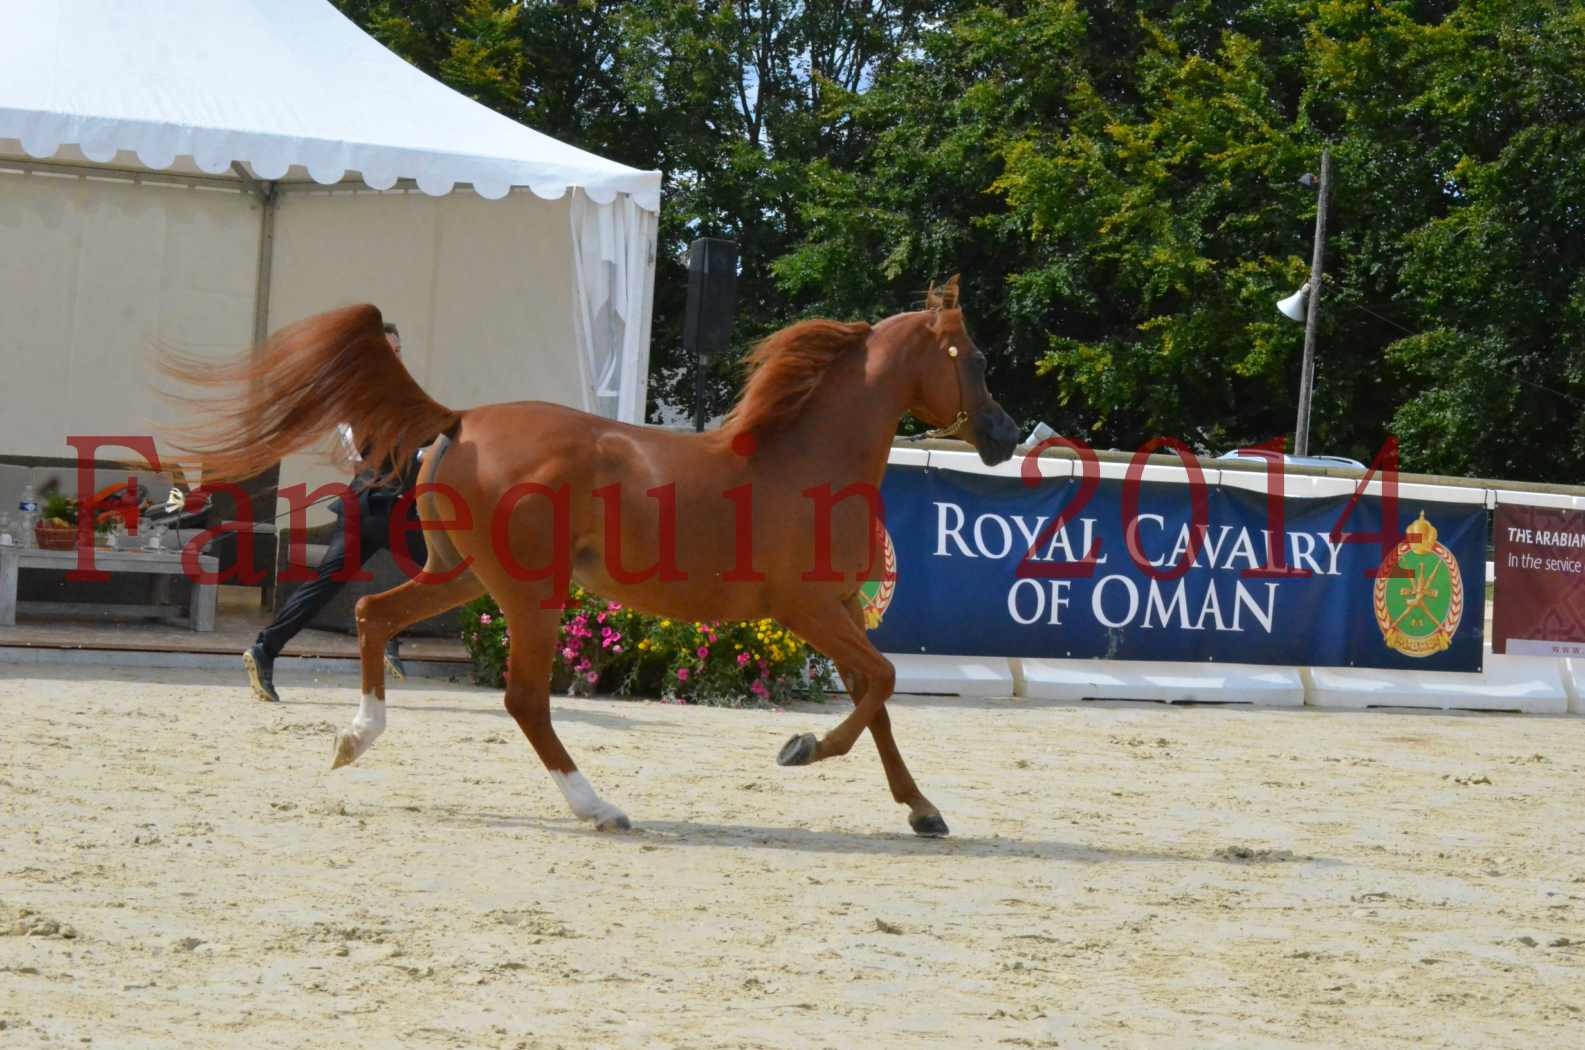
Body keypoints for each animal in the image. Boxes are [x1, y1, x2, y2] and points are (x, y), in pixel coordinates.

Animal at [167, 277, 1014, 837]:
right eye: (972, 357)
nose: (1004, 437)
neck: (808, 461)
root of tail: (460, 419)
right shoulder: (804, 607)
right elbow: (883, 684)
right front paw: (801, 748)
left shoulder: (837, 610)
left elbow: (878, 700)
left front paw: (923, 810)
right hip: (528, 594)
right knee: (523, 700)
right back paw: (597, 806)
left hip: (462, 576)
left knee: (375, 613)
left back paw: (354, 737)